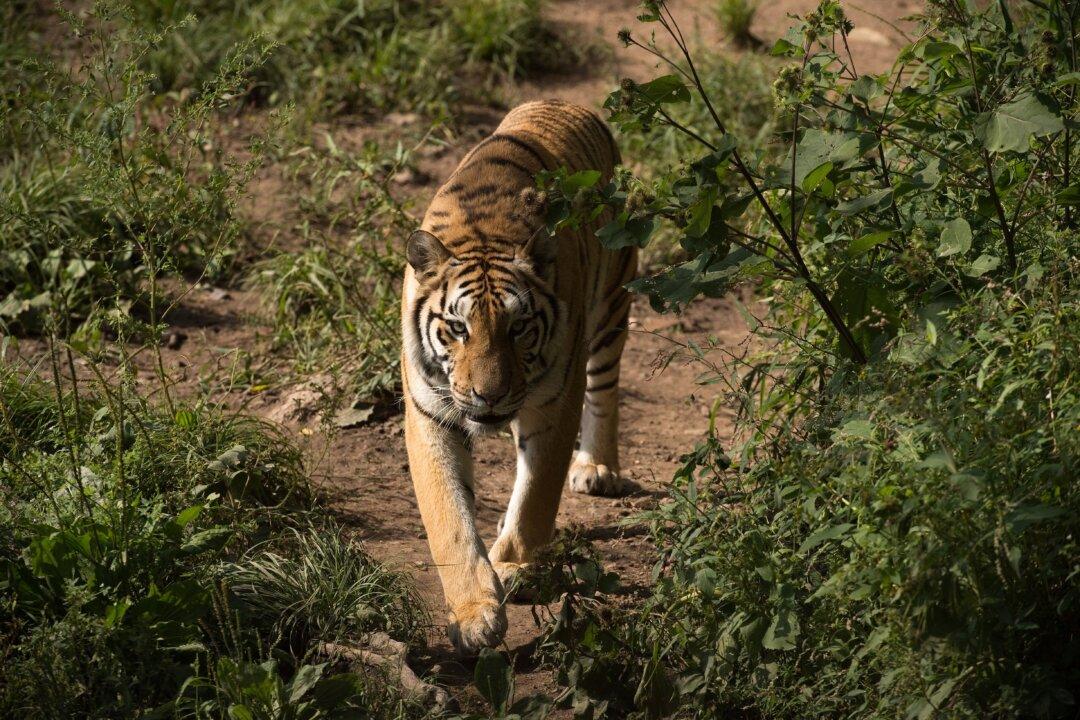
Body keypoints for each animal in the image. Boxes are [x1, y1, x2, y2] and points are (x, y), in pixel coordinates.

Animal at [400, 99, 637, 654]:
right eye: (457, 328)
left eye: (519, 327)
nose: (489, 396)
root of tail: (562, 103)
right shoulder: (429, 415)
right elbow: (450, 518)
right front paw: (474, 615)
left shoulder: (554, 405)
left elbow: (537, 496)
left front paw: (515, 569)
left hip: (613, 303)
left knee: (605, 388)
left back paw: (597, 466)